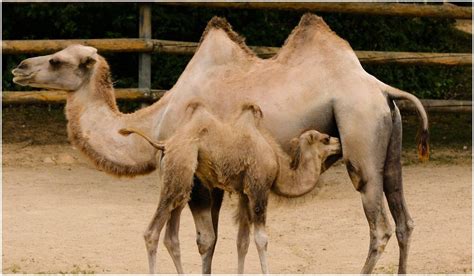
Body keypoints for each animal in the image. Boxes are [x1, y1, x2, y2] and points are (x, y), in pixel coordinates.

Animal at [118, 102, 340, 274]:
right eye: (325, 138)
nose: (339, 142)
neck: (277, 165)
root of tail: (165, 144)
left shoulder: (244, 193)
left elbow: (242, 241)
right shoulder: (259, 189)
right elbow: (261, 239)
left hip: (182, 182)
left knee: (172, 237)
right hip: (179, 172)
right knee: (151, 233)